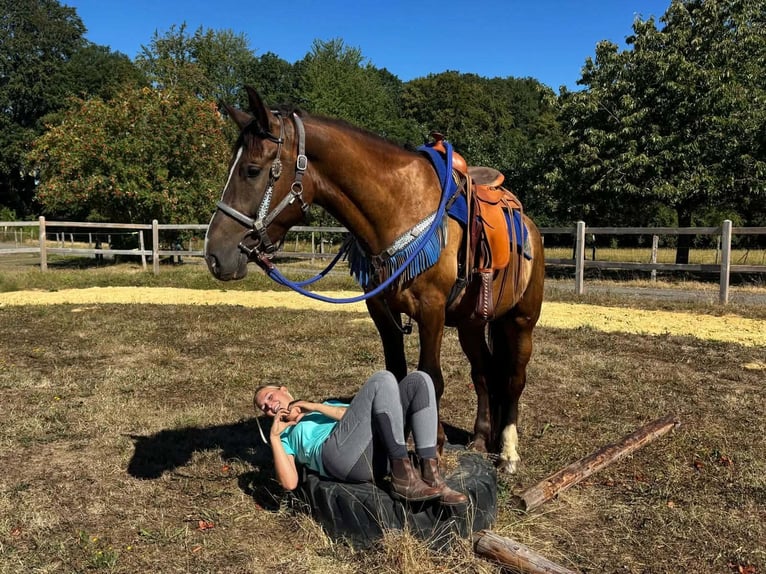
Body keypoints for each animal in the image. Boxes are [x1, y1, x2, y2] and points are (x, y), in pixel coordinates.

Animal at [204, 86, 545, 473]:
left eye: (251, 170)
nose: (215, 254)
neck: (399, 208)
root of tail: (529, 225)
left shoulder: (432, 311)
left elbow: (432, 378)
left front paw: (434, 451)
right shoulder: (381, 309)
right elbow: (396, 373)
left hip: (520, 321)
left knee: (514, 380)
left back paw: (508, 453)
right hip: (472, 324)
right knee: (484, 373)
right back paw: (479, 439)